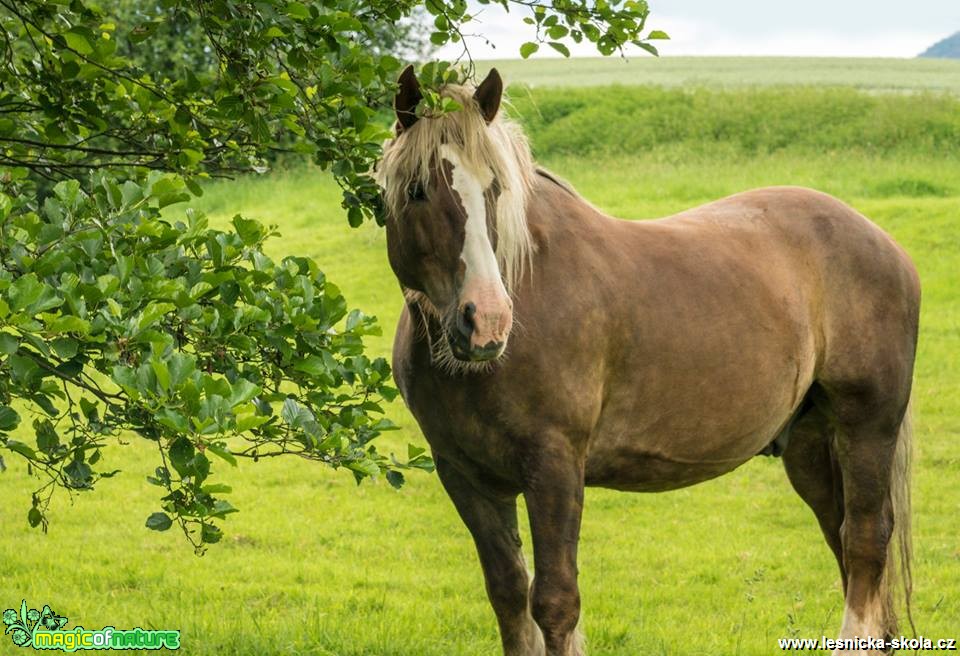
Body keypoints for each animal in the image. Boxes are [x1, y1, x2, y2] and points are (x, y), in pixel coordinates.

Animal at [374, 68, 916, 656]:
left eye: (495, 188)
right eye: (417, 189)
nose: (486, 321)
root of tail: (884, 243)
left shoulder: (555, 466)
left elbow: (555, 603)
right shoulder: (466, 478)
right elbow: (509, 595)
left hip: (866, 427)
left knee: (863, 540)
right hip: (812, 445)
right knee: (844, 540)